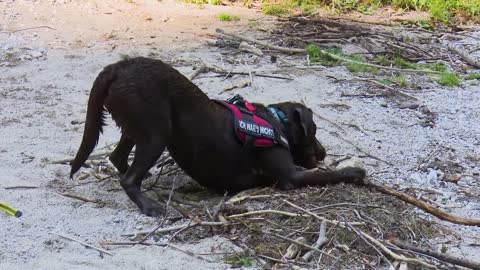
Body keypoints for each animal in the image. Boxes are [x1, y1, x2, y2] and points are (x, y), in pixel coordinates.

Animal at [70, 57, 364, 217]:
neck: (275, 120)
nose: (324, 152)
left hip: (137, 128)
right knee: (129, 178)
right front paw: (354, 172)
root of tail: (118, 67)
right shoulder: (292, 176)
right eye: (314, 130)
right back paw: (149, 205)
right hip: (157, 133)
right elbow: (330, 174)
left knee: (117, 157)